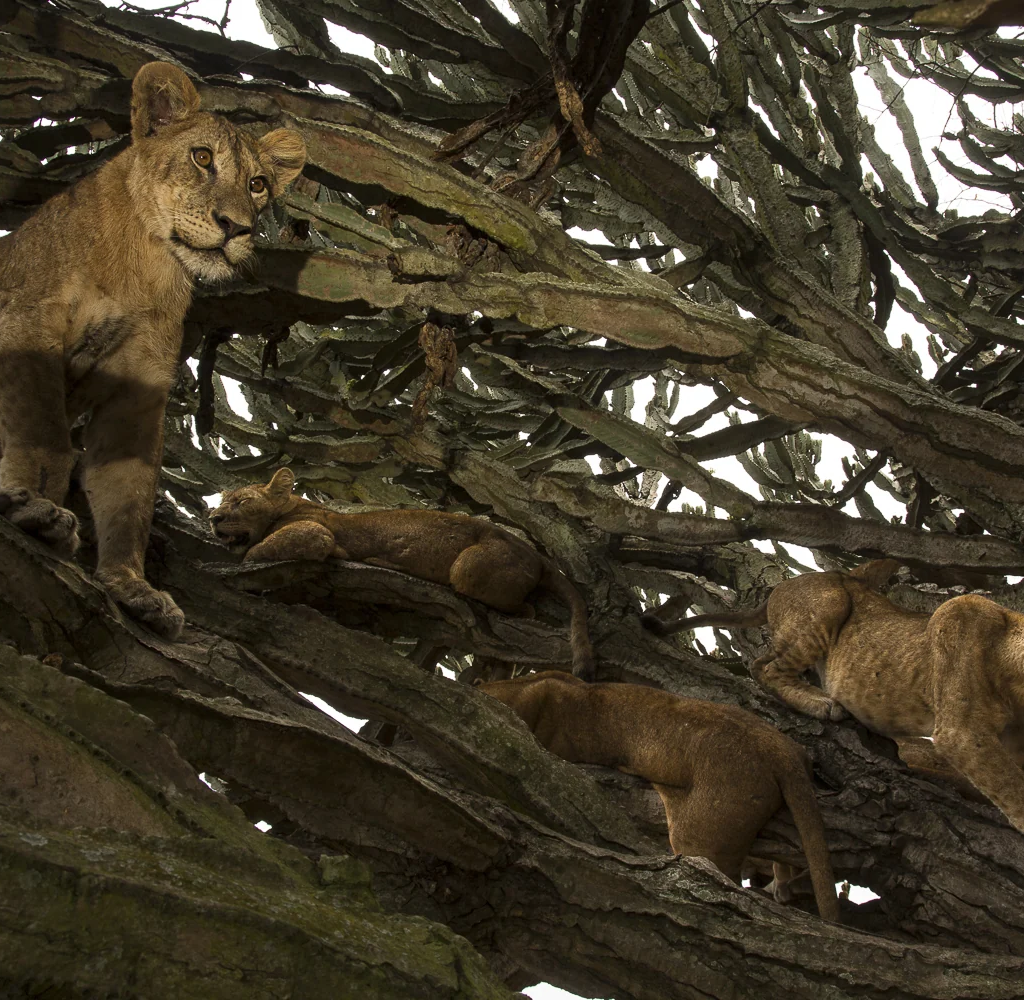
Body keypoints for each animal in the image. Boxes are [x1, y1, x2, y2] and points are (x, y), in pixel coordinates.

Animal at [0, 62, 305, 638]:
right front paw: (37, 512)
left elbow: (129, 491)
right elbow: (43, 436)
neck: (146, 262)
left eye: (257, 185)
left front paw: (131, 585)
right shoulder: (27, 326)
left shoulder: (138, 390)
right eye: (202, 157)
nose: (237, 227)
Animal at [210, 468, 596, 680]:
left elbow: (263, 549)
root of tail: (540, 557)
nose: (214, 518)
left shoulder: (317, 533)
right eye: (223, 502)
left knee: (525, 609)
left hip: (467, 568)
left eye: (242, 502)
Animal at [641, 560, 1024, 835]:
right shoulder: (962, 733)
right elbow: (1012, 789)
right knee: (763, 666)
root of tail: (781, 586)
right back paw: (824, 704)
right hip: (828, 605)